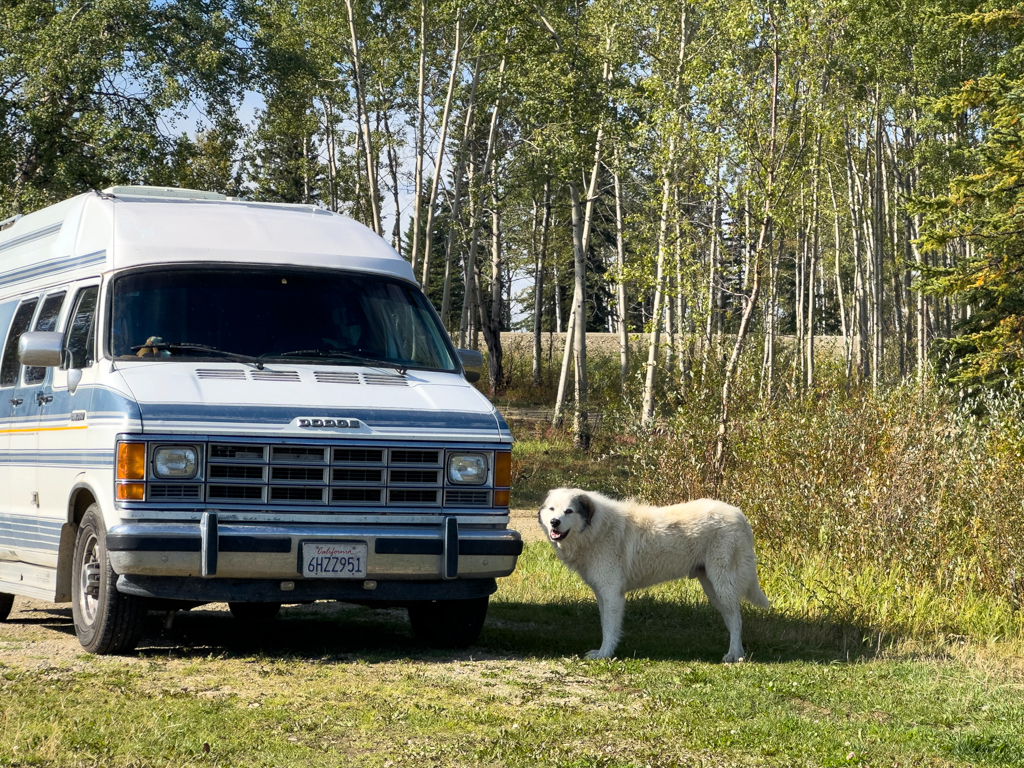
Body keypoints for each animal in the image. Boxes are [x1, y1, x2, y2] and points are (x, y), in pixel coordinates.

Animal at [536, 489, 770, 663]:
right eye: (552, 509)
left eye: (569, 511)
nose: (554, 522)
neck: (596, 529)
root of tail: (739, 515)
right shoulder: (602, 594)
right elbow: (605, 623)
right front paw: (603, 652)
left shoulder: (611, 594)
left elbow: (609, 627)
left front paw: (604, 655)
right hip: (713, 588)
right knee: (732, 618)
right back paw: (738, 654)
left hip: (722, 583)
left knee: (736, 619)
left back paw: (733, 655)